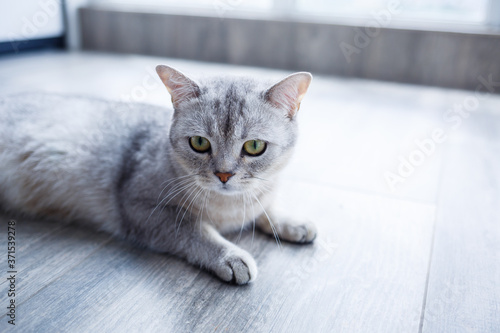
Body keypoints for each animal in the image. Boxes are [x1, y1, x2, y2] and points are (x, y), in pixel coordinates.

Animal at [0, 66, 316, 284]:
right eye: (199, 143)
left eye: (254, 146)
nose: (224, 175)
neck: (229, 208)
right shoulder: (141, 207)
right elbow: (196, 231)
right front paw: (230, 255)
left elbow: (266, 207)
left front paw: (291, 222)